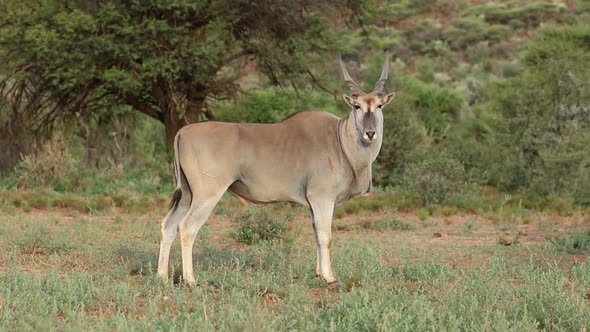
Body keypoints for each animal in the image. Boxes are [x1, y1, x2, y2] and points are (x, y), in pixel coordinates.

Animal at [157, 53, 398, 286]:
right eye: (357, 106)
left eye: (379, 106)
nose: (370, 133)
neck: (340, 139)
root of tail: (183, 132)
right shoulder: (322, 199)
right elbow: (325, 236)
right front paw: (329, 277)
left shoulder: (314, 204)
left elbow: (316, 234)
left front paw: (318, 273)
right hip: (206, 195)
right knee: (187, 228)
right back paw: (190, 279)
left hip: (187, 194)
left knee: (169, 225)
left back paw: (162, 277)